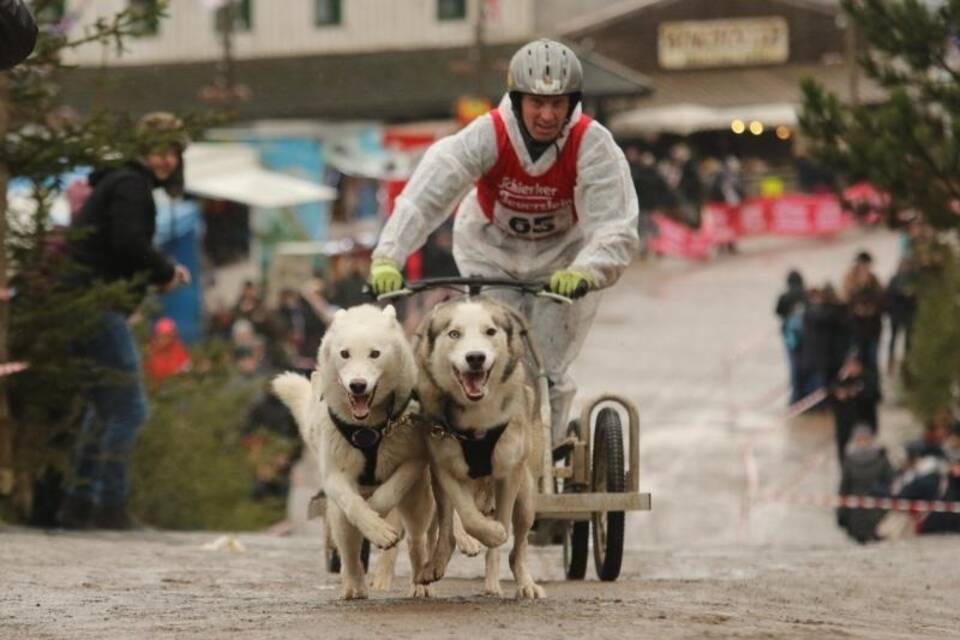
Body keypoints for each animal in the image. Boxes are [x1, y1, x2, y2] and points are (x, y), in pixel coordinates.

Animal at [272, 304, 434, 600]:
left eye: (375, 353)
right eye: (345, 353)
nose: (358, 385)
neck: (367, 429)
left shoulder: (414, 460)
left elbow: (387, 493)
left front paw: (378, 521)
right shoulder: (335, 475)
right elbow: (353, 506)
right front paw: (375, 527)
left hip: (418, 504)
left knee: (417, 542)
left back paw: (420, 583)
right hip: (336, 517)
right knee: (348, 551)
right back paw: (354, 586)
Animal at [414, 298, 544, 596]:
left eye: (490, 331)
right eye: (454, 334)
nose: (475, 357)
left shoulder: (509, 470)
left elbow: (503, 525)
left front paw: (496, 534)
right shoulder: (444, 463)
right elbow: (466, 515)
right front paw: (485, 533)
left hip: (528, 493)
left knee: (517, 545)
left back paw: (521, 583)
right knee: (445, 526)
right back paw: (436, 562)